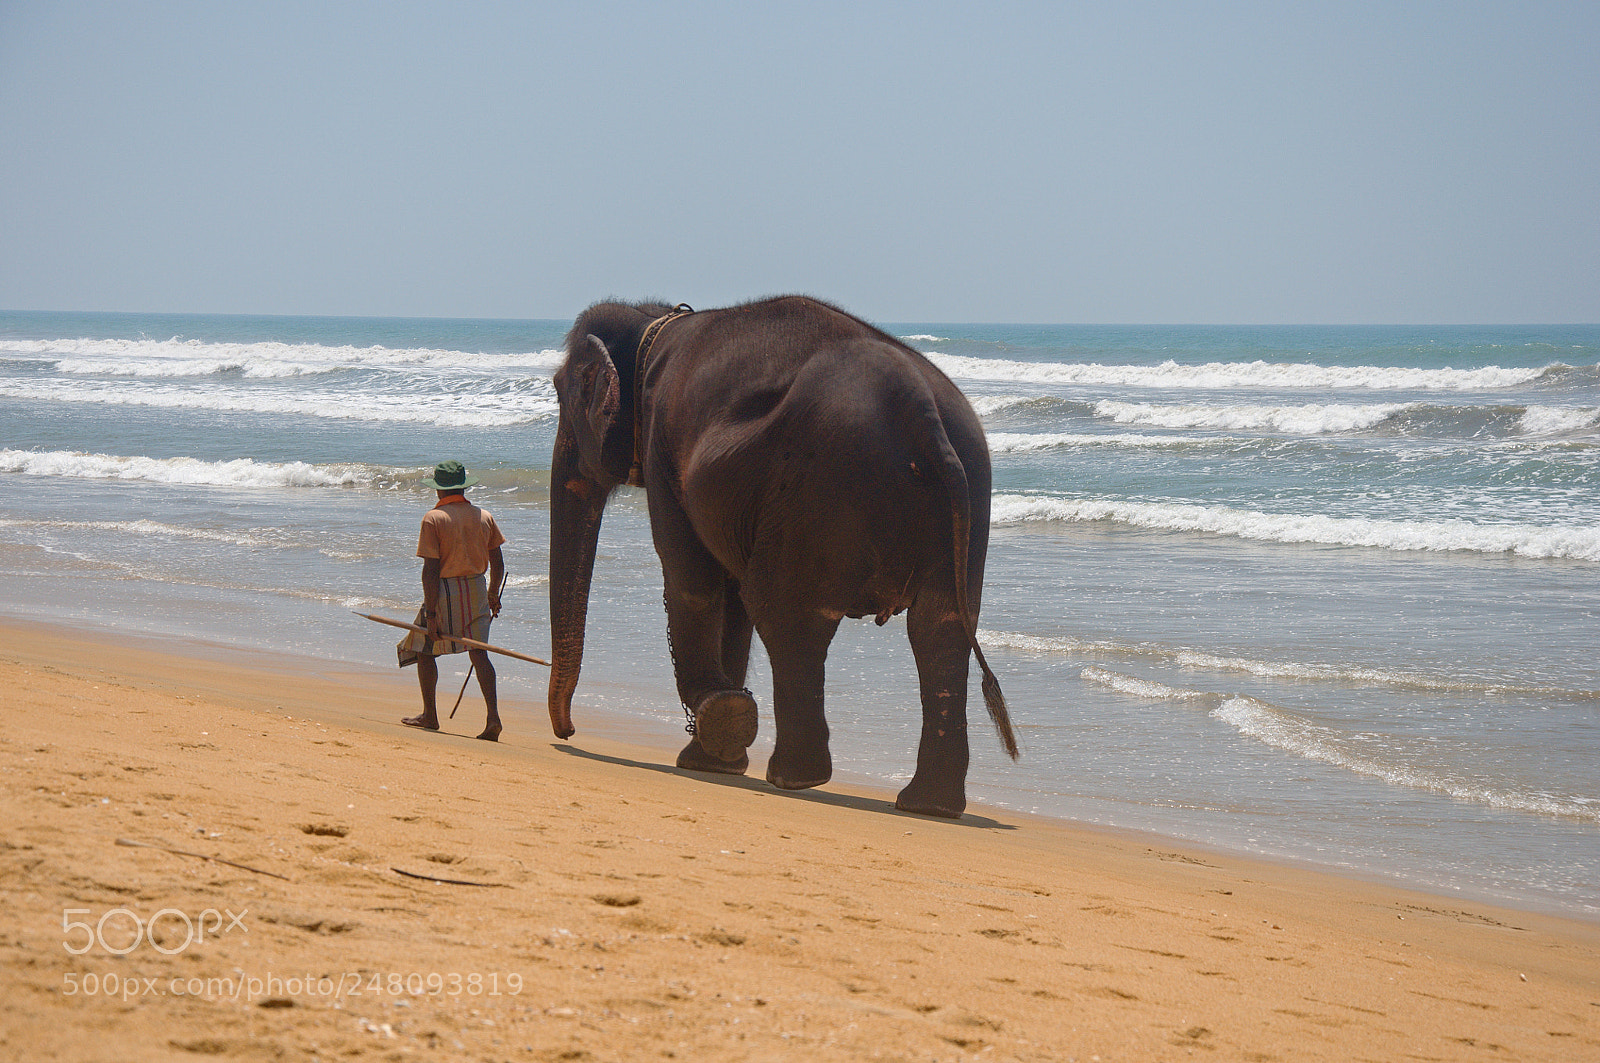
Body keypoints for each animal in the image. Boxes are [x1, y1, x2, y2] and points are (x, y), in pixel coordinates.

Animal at [547, 295, 1017, 817]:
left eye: (562, 397)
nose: (567, 731)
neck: (656, 318)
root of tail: (918, 403)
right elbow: (729, 600)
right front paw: (714, 755)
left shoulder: (661, 445)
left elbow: (694, 580)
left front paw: (722, 721)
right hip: (966, 490)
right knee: (940, 629)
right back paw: (927, 806)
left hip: (818, 492)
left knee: (786, 615)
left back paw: (794, 778)